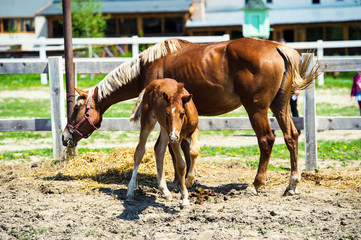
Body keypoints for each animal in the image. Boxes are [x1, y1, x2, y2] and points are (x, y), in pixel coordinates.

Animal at [62, 37, 318, 195]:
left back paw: (256, 184)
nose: (65, 137)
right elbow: (183, 148)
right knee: (291, 137)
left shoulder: (165, 116)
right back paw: (292, 184)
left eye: (75, 109)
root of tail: (276, 47)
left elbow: (169, 149)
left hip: (257, 109)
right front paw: (183, 179)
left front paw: (177, 182)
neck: (149, 66)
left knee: (267, 140)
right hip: (280, 106)